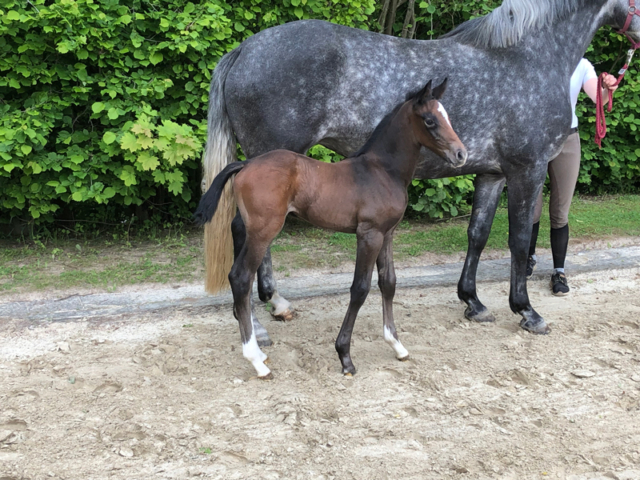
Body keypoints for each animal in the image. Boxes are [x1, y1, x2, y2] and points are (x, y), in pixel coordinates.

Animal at [194, 79, 464, 378]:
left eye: (447, 116)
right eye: (430, 120)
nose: (461, 154)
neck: (383, 170)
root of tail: (246, 163)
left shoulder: (387, 233)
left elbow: (388, 283)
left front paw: (397, 345)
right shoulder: (368, 235)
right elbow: (360, 289)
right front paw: (345, 356)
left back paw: (260, 353)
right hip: (263, 232)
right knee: (241, 277)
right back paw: (256, 360)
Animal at [204, 0, 640, 344]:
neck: (527, 57)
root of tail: (244, 49)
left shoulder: (492, 174)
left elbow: (478, 235)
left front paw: (473, 301)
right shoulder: (527, 170)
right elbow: (518, 242)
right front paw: (526, 311)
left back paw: (275, 304)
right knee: (244, 236)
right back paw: (258, 322)